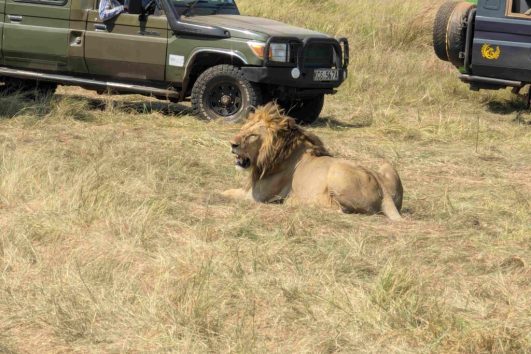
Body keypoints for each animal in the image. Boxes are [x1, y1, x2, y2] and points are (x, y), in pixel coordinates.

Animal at [222, 101, 406, 221]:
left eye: (253, 135)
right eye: (243, 129)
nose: (232, 144)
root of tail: (384, 190)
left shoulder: (257, 197)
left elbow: (225, 193)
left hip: (336, 171)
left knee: (340, 210)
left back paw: (296, 202)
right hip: (386, 165)